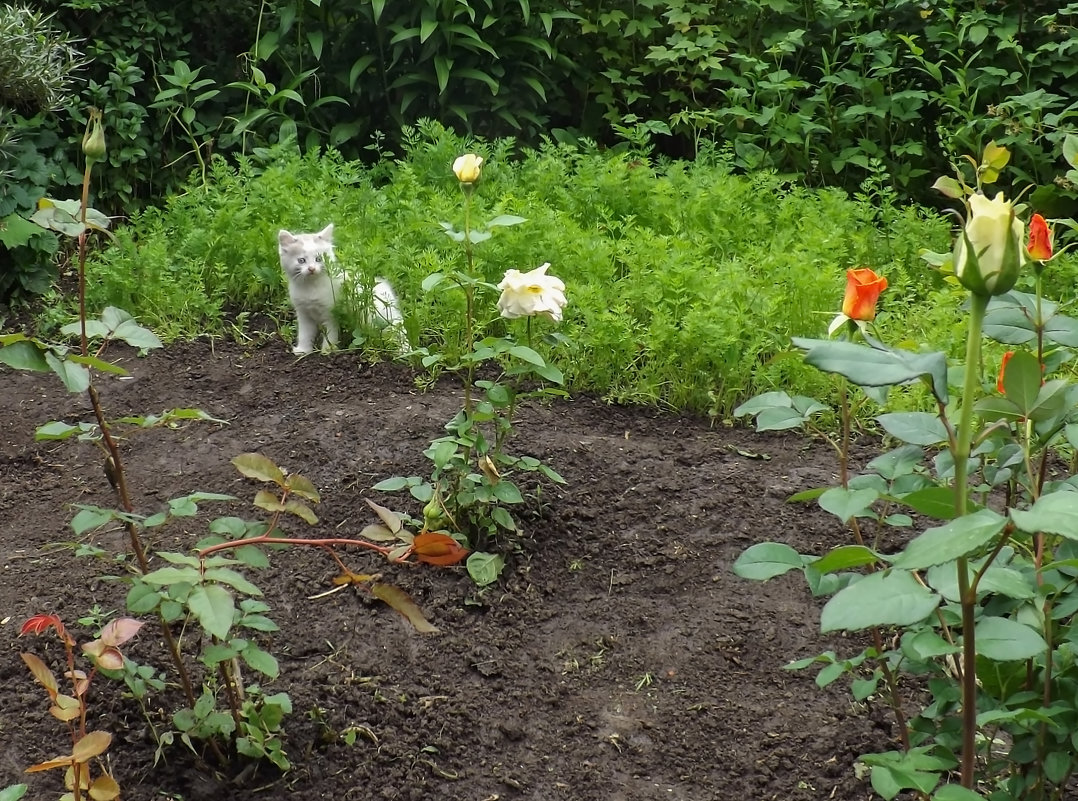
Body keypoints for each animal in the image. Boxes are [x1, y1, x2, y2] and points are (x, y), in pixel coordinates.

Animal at [278, 222, 407, 353]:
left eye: (318, 259)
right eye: (301, 260)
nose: (311, 269)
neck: (310, 287)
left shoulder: (331, 313)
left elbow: (330, 334)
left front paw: (328, 351)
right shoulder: (303, 313)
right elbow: (305, 334)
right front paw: (303, 350)